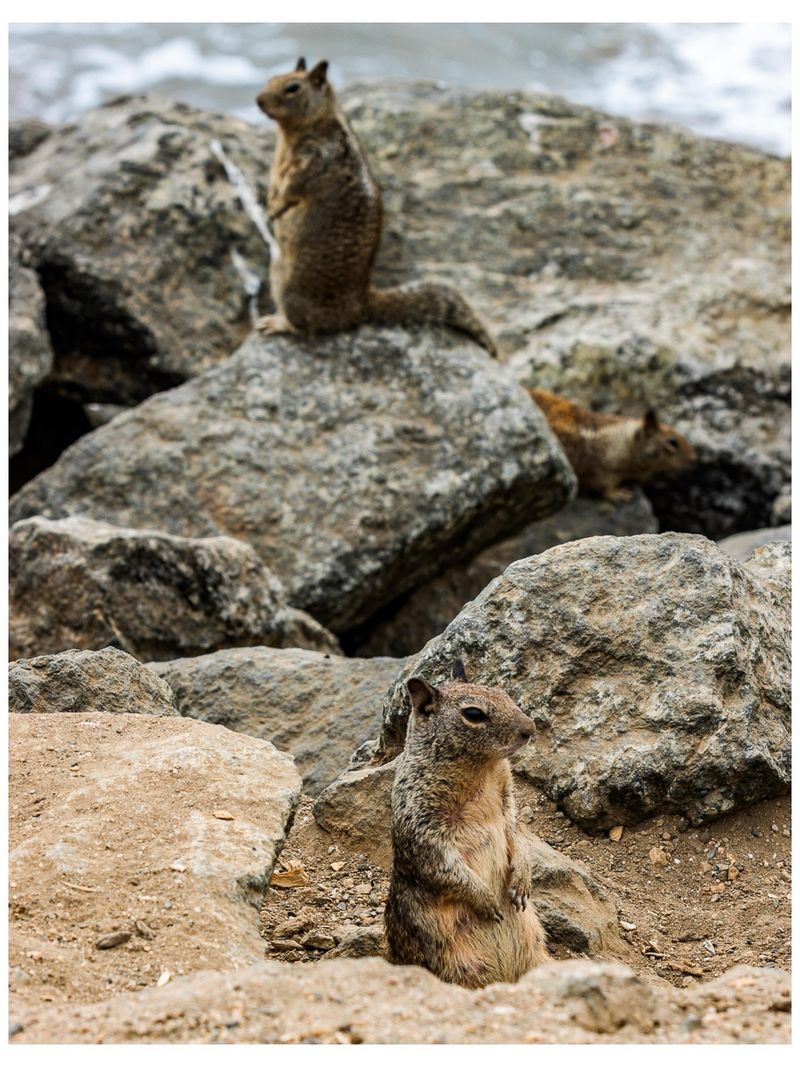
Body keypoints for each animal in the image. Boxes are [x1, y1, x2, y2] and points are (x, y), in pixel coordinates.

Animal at [254, 58, 497, 357]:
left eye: (292, 88)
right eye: (271, 78)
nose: (258, 100)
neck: (295, 132)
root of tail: (361, 306)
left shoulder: (312, 164)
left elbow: (291, 191)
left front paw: (274, 210)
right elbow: (275, 186)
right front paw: (269, 203)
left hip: (291, 292)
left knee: (306, 327)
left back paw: (276, 323)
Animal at [384, 658, 549, 988]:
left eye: (505, 693)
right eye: (473, 714)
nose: (530, 729)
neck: (481, 770)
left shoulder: (508, 802)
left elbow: (517, 833)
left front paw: (522, 881)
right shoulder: (423, 825)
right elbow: (445, 868)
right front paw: (487, 901)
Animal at [530, 387, 696, 503]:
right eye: (673, 442)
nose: (693, 459)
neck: (625, 442)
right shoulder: (604, 468)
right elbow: (605, 486)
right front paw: (619, 494)